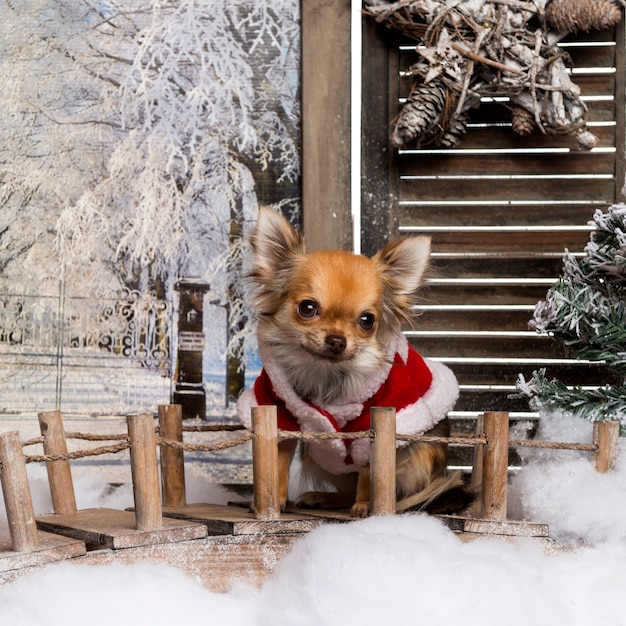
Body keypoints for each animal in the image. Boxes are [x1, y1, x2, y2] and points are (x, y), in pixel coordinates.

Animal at [239, 207, 468, 516]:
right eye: (307, 308)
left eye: (367, 320)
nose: (337, 340)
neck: (326, 373)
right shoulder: (279, 409)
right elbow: (278, 459)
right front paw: (272, 501)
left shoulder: (377, 424)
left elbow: (370, 472)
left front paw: (365, 506)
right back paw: (324, 498)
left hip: (418, 456)